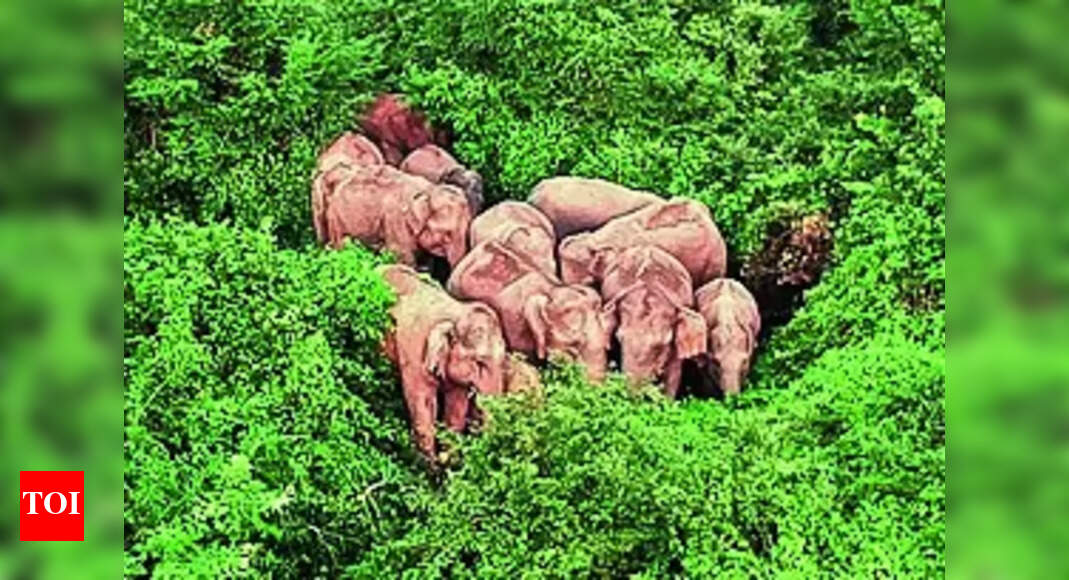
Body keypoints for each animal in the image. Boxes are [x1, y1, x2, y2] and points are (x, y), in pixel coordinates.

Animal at [379, 264, 507, 459]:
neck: (457, 314)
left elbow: (456, 406)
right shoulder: (415, 350)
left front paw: (448, 460)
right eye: (479, 362)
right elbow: (422, 401)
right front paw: (429, 463)